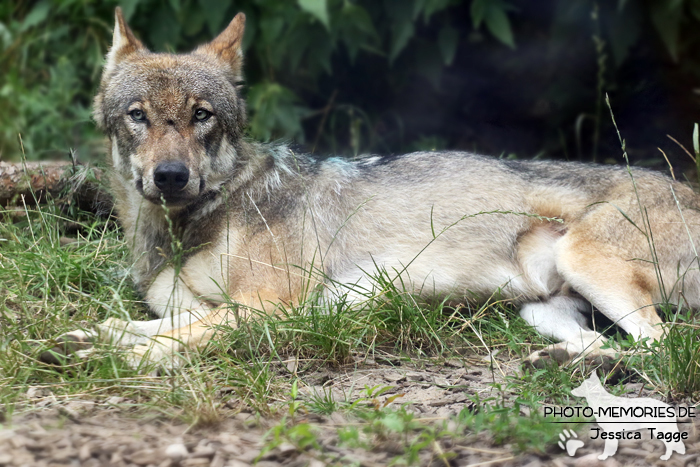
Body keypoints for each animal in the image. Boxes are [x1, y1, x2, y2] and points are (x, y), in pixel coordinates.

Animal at [43, 8, 700, 372]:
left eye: (202, 116)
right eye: (138, 117)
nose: (171, 176)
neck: (187, 228)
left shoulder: (268, 308)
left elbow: (176, 339)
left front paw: (110, 358)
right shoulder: (203, 307)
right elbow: (145, 325)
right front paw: (84, 338)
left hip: (582, 258)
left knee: (669, 346)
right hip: (541, 310)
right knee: (630, 346)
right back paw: (565, 363)